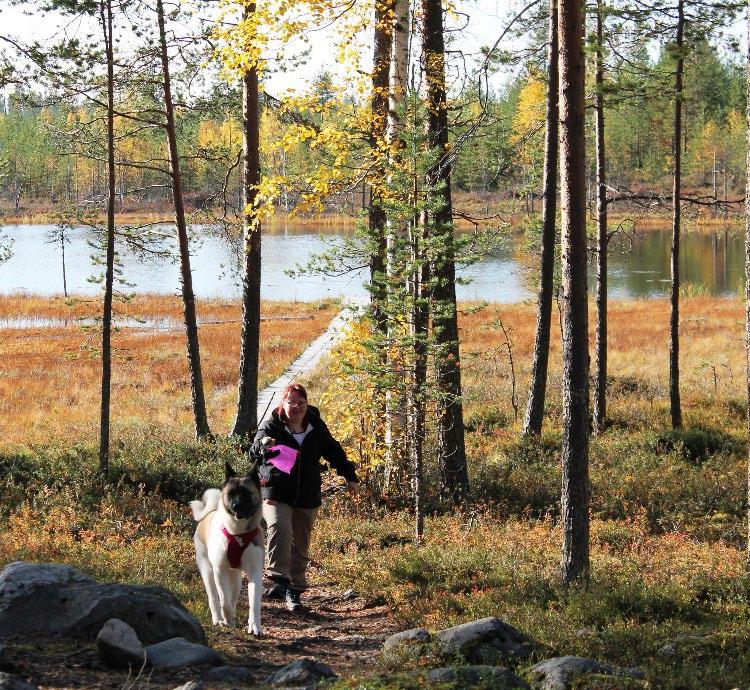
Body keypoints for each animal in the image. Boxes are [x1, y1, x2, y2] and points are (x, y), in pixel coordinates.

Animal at [191, 462, 264, 636]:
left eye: (246, 493)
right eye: (231, 494)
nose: (236, 506)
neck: (238, 533)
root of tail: (209, 513)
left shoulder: (255, 572)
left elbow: (254, 602)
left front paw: (254, 626)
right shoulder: (220, 569)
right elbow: (224, 600)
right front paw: (228, 620)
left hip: (236, 577)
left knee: (234, 593)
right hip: (208, 571)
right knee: (214, 596)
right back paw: (218, 619)